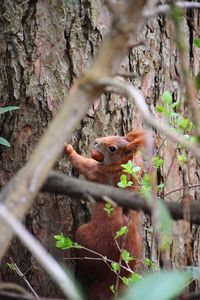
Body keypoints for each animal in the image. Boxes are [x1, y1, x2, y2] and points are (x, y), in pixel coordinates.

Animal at [65, 130, 145, 300]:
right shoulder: (135, 171)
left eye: (112, 148)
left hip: (86, 237)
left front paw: (68, 149)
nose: (96, 141)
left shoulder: (101, 172)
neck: (122, 165)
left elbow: (84, 165)